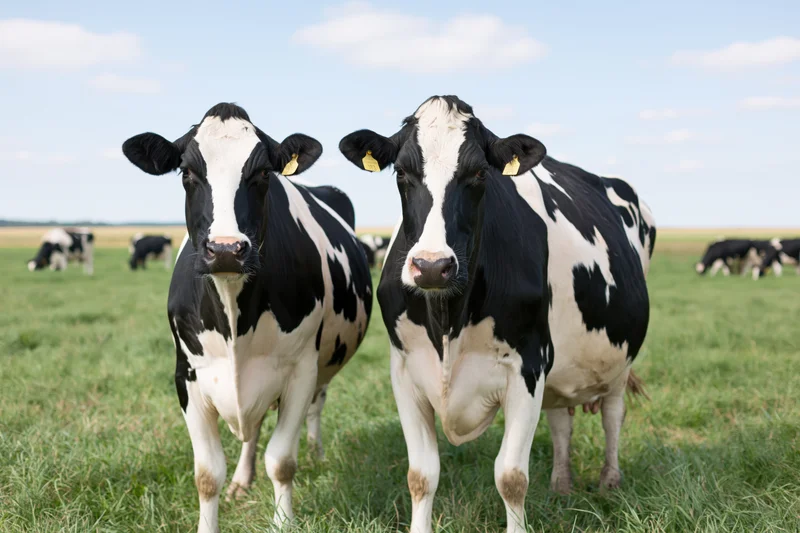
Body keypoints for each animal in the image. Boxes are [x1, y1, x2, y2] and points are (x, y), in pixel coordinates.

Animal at [121, 103, 372, 533]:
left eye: (263, 174)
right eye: (187, 173)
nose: (226, 249)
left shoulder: (301, 370)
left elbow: (282, 461)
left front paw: (284, 522)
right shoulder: (186, 375)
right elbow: (207, 474)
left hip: (323, 366)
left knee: (316, 407)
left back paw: (318, 453)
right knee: (251, 431)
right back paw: (242, 480)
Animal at [339, 95, 656, 533]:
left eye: (478, 173)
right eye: (401, 172)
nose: (433, 266)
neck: (448, 321)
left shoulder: (528, 365)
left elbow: (511, 477)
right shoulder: (403, 370)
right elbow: (421, 475)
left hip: (619, 361)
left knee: (613, 412)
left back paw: (609, 481)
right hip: (560, 370)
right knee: (561, 420)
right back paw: (561, 484)